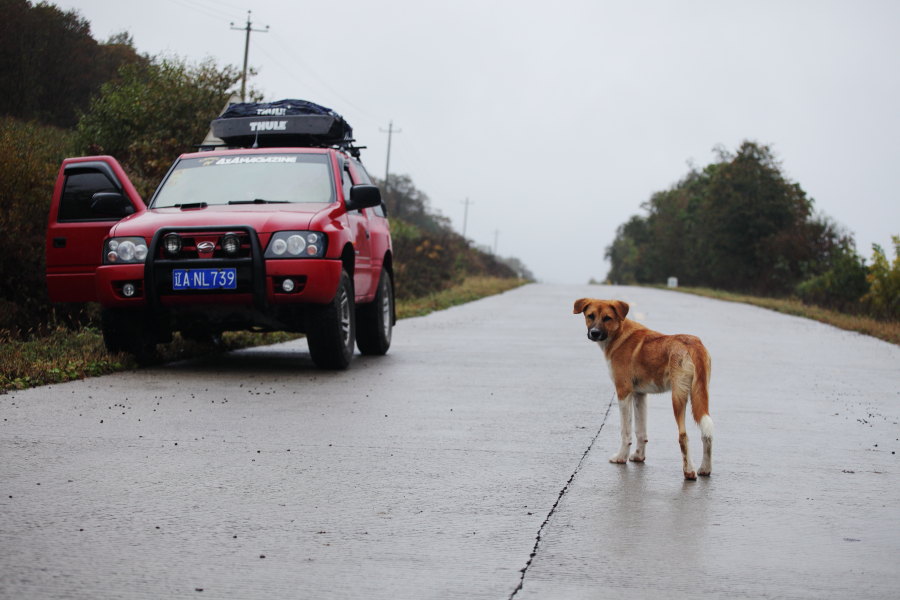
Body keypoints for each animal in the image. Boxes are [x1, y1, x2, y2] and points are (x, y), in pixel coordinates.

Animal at [572, 298, 712, 478]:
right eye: (590, 316)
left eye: (607, 318)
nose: (594, 333)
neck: (619, 334)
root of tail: (692, 343)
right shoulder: (640, 394)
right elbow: (641, 431)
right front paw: (639, 456)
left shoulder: (623, 392)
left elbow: (626, 432)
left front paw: (621, 457)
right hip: (701, 395)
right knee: (707, 433)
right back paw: (705, 469)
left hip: (678, 397)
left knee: (683, 436)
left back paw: (689, 471)